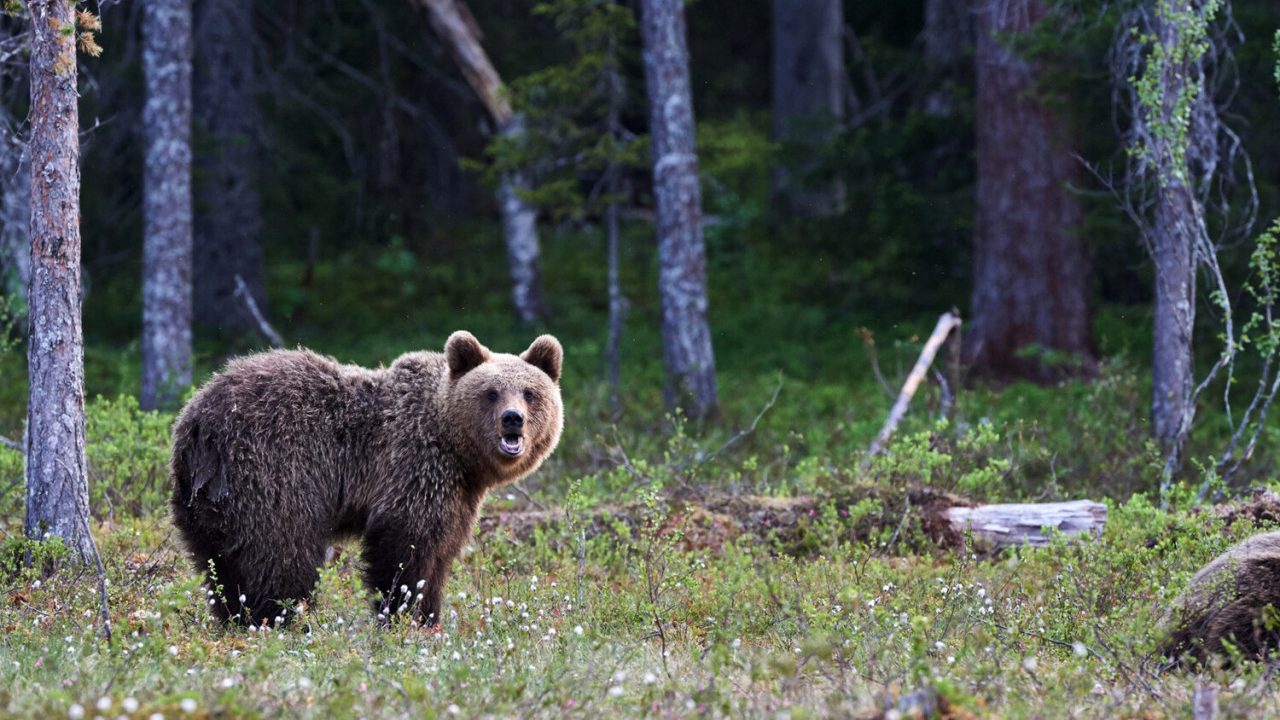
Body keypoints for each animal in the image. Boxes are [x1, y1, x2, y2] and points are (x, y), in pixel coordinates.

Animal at [169, 331, 564, 627]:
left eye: (529, 392)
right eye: (491, 392)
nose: (513, 419)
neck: (457, 451)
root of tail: (196, 424)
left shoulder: (458, 494)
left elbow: (441, 552)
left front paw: (429, 618)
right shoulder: (413, 465)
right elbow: (404, 549)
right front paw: (402, 617)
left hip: (208, 504)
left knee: (222, 565)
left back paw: (236, 618)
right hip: (274, 474)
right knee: (281, 554)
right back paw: (282, 620)